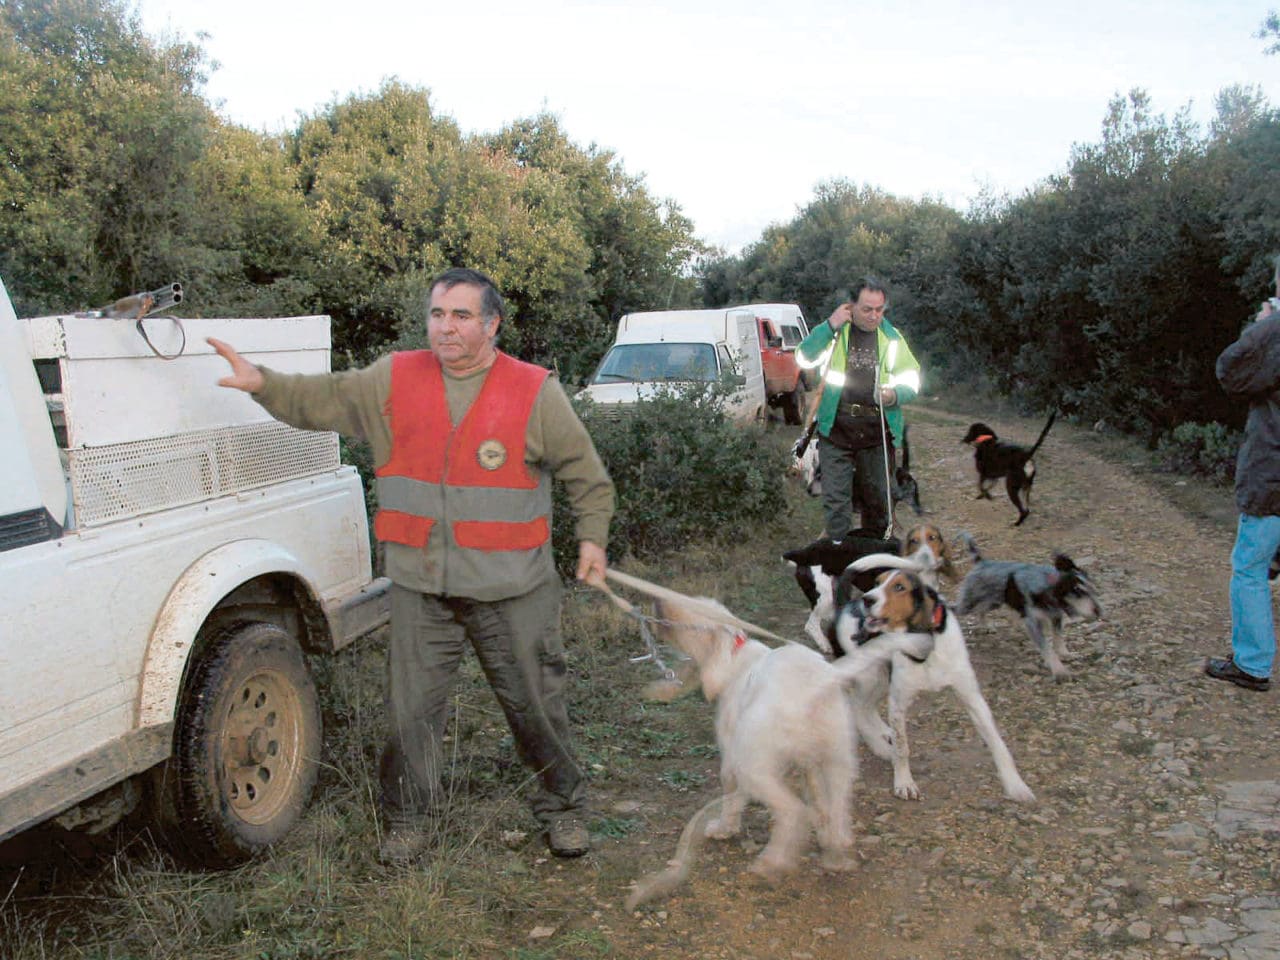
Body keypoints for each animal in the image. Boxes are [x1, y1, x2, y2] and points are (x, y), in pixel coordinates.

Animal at [957, 529, 1105, 680]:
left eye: (1093, 590)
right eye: (1078, 591)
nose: (1098, 611)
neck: (1046, 587)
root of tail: (981, 562)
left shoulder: (1056, 616)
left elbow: (1058, 638)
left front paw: (1065, 654)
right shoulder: (1033, 623)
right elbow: (1047, 648)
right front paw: (1059, 670)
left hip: (994, 602)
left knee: (981, 610)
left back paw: (986, 626)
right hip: (968, 604)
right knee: (957, 609)